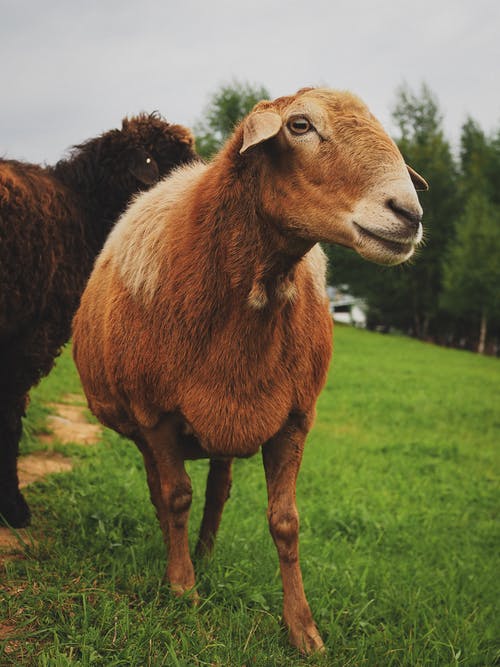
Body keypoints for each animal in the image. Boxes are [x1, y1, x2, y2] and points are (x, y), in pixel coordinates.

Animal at [72, 86, 428, 656]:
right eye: (300, 125)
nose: (409, 213)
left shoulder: (294, 418)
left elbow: (286, 522)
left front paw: (303, 629)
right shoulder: (157, 415)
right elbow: (175, 496)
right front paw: (183, 589)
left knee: (217, 488)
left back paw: (206, 553)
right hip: (145, 422)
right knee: (161, 487)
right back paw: (179, 555)